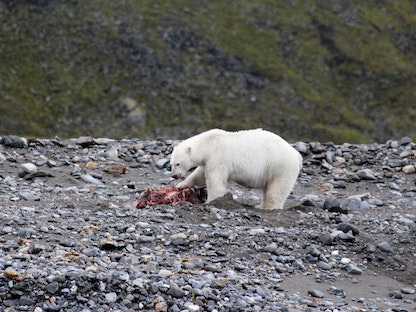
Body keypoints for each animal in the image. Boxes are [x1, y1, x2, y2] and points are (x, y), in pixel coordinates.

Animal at [169, 128, 302, 211]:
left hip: (280, 167)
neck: (210, 143)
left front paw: (211, 201)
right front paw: (181, 185)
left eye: (178, 164)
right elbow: (199, 175)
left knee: (277, 189)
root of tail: (297, 155)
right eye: (171, 164)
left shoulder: (219, 156)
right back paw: (259, 206)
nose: (174, 175)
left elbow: (215, 179)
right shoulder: (208, 160)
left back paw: (268, 207)